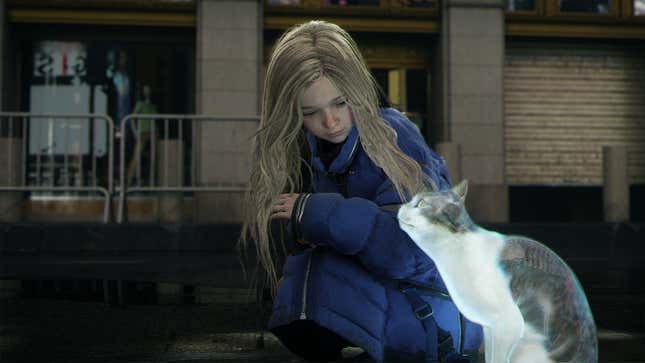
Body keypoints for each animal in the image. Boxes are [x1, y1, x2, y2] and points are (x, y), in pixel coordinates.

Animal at [398, 182, 600, 363]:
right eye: (412, 200)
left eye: (421, 204)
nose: (401, 206)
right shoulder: (490, 328)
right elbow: (490, 356)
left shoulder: (508, 324)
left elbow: (498, 359)